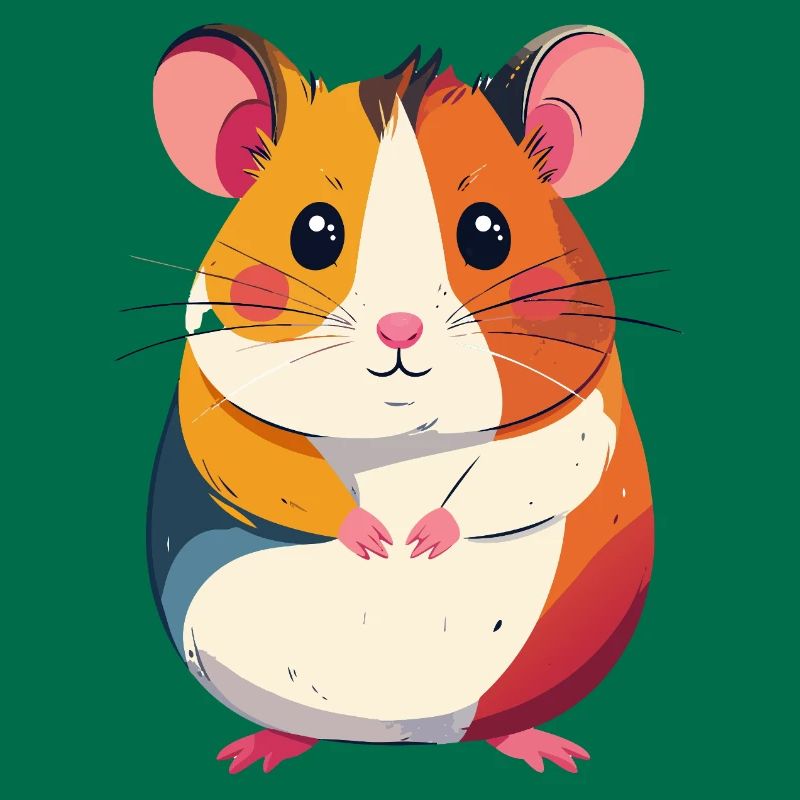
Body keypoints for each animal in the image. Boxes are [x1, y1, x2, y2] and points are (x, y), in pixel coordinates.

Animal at [146, 22, 653, 775]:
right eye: (314, 232)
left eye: (487, 232)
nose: (400, 329)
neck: (402, 438)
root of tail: (402, 733)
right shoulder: (217, 402)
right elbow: (261, 466)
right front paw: (376, 540)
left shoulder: (580, 413)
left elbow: (531, 470)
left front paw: (421, 540)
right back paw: (256, 751)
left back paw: (547, 751)